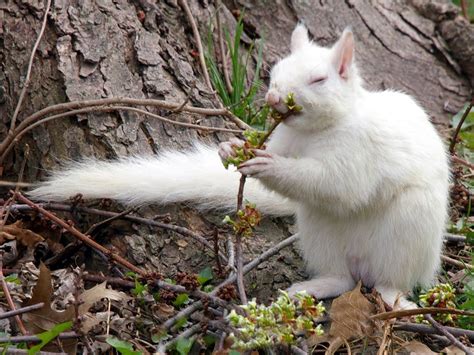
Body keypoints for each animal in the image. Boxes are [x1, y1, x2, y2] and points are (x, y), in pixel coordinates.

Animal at [30, 24, 448, 308]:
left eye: (319, 79)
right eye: (275, 72)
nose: (275, 98)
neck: (313, 133)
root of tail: (364, 268)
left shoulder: (359, 153)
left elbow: (339, 185)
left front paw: (268, 166)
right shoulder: (286, 141)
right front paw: (231, 147)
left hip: (408, 233)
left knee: (392, 279)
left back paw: (393, 297)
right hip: (320, 232)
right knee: (340, 277)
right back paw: (314, 287)